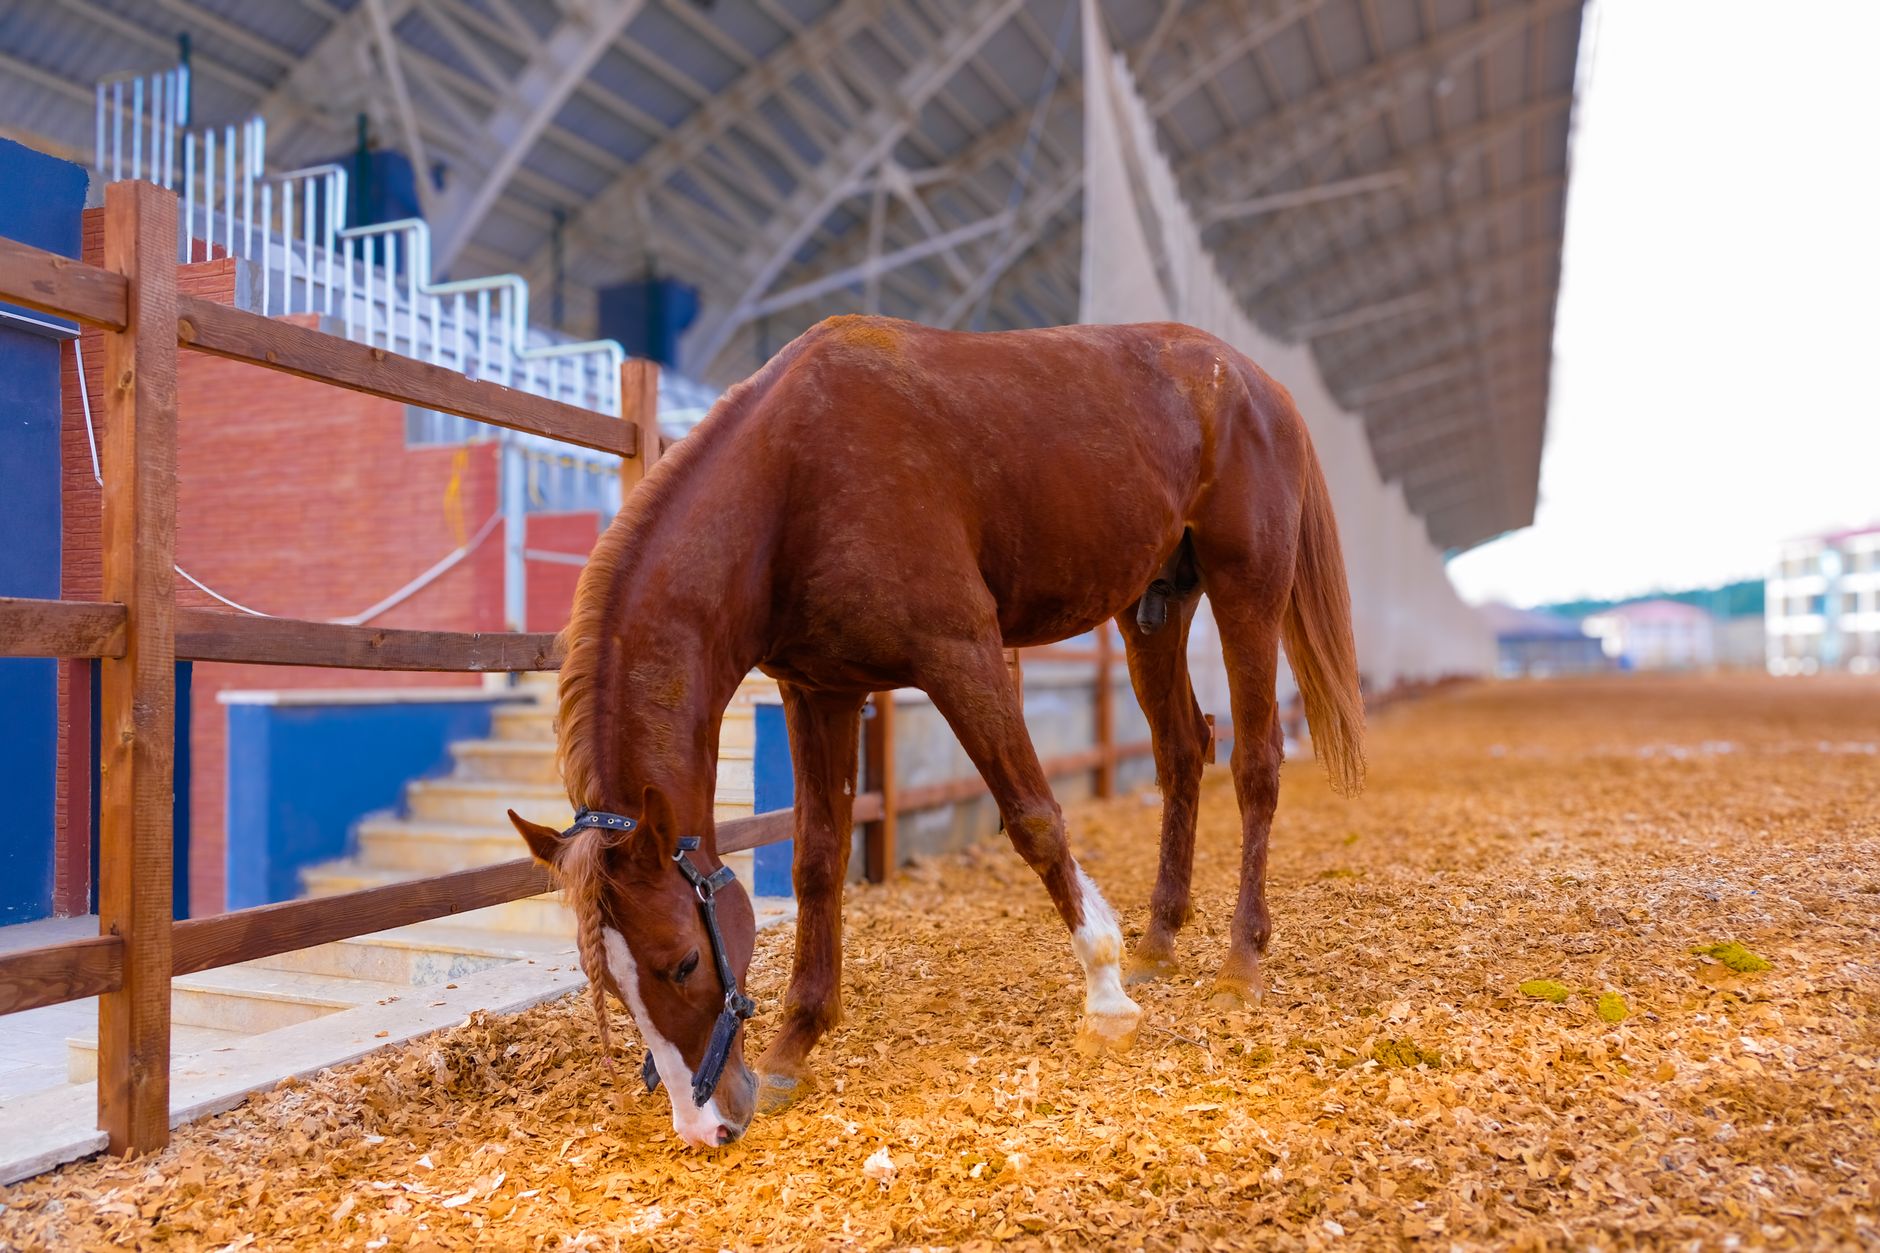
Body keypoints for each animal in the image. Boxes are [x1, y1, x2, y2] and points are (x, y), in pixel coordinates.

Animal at [508, 314, 1365, 1148]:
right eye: (613, 985)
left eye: (683, 961)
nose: (705, 1125)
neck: (792, 481)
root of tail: (1257, 382)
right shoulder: (820, 691)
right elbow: (818, 859)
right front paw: (795, 1043)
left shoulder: (962, 653)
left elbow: (1035, 821)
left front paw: (1105, 997)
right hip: (1155, 607)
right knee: (1183, 750)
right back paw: (1159, 940)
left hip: (1247, 586)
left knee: (1256, 763)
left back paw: (1241, 961)